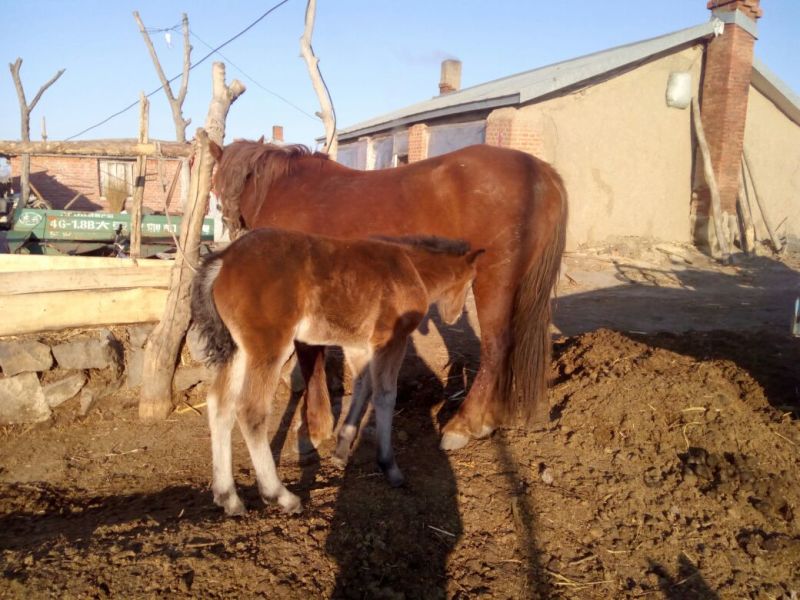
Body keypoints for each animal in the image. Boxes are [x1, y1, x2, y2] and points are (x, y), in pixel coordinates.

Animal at [190, 227, 483, 515]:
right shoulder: (391, 341)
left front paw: (342, 450)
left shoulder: (359, 346)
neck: (412, 269)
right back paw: (281, 496)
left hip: (239, 351)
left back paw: (228, 498)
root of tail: (224, 258)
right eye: (470, 280)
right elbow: (385, 396)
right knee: (250, 411)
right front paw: (389, 466)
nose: (454, 317)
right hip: (268, 348)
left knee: (219, 405)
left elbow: (363, 387)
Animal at [208, 140, 568, 451]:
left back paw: (463, 424)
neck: (285, 190)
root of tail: (543, 172)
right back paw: (488, 419)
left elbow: (311, 359)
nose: (227, 224)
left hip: (494, 281)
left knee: (497, 346)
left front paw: (315, 427)